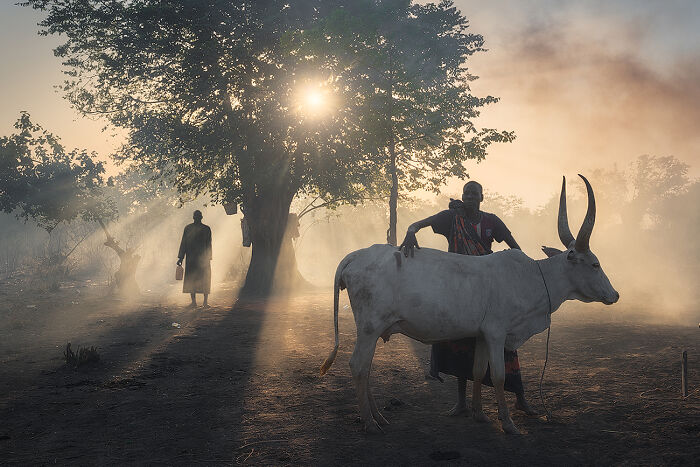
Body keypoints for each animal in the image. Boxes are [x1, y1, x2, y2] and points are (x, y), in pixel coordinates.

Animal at [320, 175, 620, 436]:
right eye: (595, 264)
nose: (615, 295)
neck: (535, 277)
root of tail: (355, 255)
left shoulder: (482, 335)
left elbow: (477, 371)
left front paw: (478, 413)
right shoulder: (498, 333)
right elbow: (498, 375)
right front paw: (508, 423)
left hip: (371, 330)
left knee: (366, 368)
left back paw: (378, 416)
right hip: (369, 328)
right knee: (358, 365)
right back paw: (370, 423)